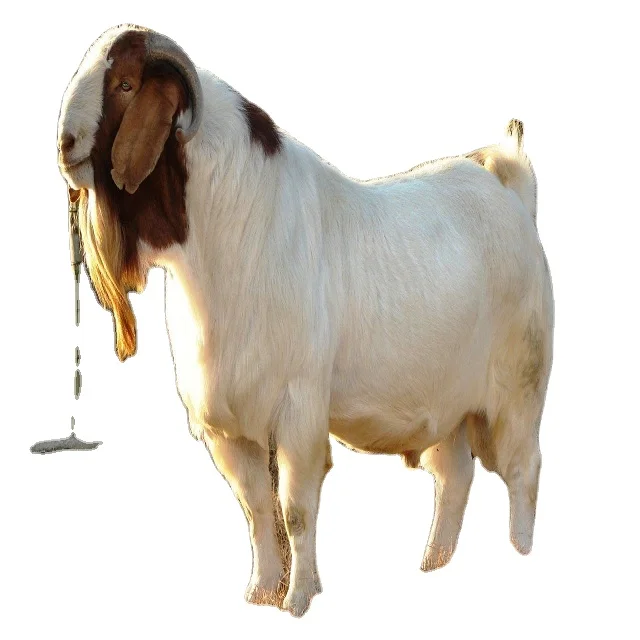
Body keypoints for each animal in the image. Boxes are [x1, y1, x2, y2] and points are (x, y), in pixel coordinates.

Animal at [57, 25, 554, 617]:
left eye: (127, 84)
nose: (64, 145)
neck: (229, 232)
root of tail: (511, 190)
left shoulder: (298, 410)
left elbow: (295, 509)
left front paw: (297, 600)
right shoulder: (230, 427)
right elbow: (255, 509)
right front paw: (259, 593)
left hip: (518, 392)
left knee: (523, 474)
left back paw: (519, 558)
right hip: (449, 408)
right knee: (455, 477)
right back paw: (433, 569)